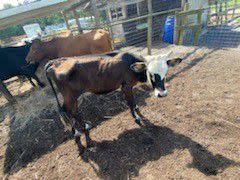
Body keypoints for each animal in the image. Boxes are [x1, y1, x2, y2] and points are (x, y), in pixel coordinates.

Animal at [44, 51, 182, 153]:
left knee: (69, 111)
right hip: (70, 96)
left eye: (165, 72)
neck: (132, 65)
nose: (162, 94)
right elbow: (131, 102)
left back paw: (81, 129)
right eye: (151, 73)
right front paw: (137, 118)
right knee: (69, 111)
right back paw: (83, 133)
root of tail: (55, 62)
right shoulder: (126, 86)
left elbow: (134, 103)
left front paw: (139, 112)